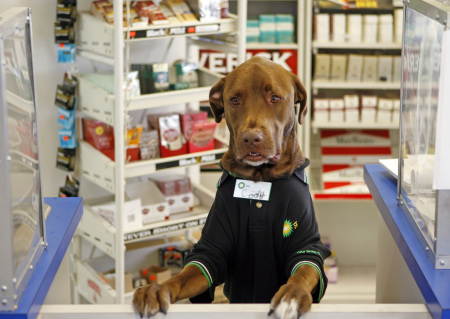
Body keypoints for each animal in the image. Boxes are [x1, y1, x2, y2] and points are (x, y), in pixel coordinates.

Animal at [132, 56, 328, 318]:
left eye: (275, 98)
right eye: (234, 100)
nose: (251, 138)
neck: (260, 179)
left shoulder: (306, 245)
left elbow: (303, 272)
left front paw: (292, 295)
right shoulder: (211, 249)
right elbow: (184, 275)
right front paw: (156, 289)